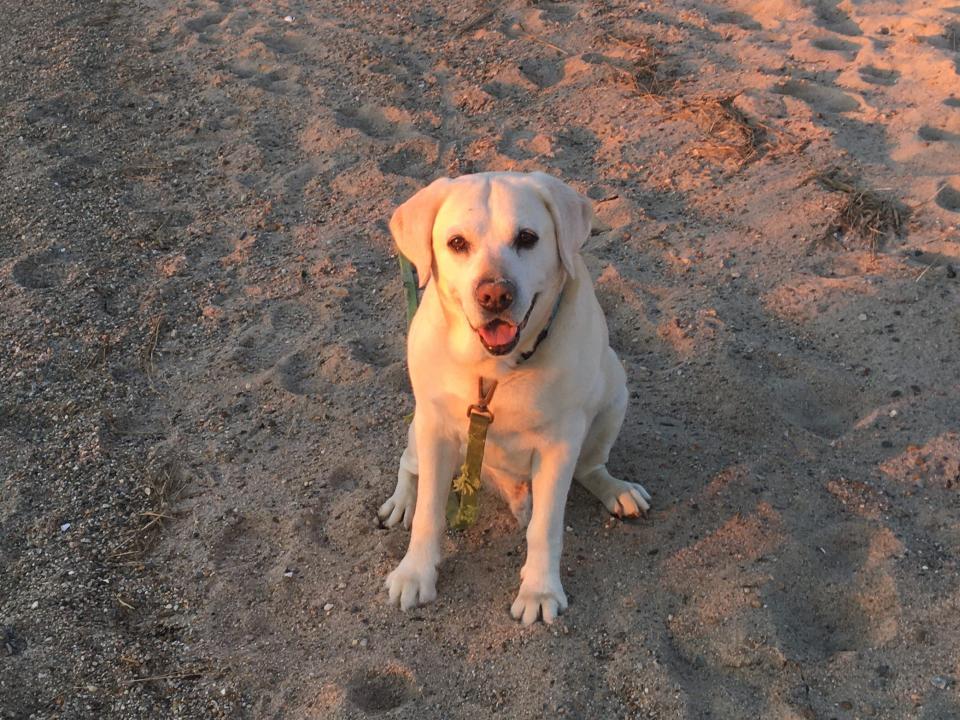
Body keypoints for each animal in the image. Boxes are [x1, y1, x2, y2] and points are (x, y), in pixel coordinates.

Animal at [378, 170, 648, 624]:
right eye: (457, 243)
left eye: (527, 238)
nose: (495, 296)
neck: (495, 369)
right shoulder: (435, 429)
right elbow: (430, 513)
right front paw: (415, 573)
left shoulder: (560, 444)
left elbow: (546, 527)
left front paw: (539, 590)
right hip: (421, 429)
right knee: (408, 464)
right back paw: (402, 501)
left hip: (614, 389)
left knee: (590, 466)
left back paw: (616, 490)